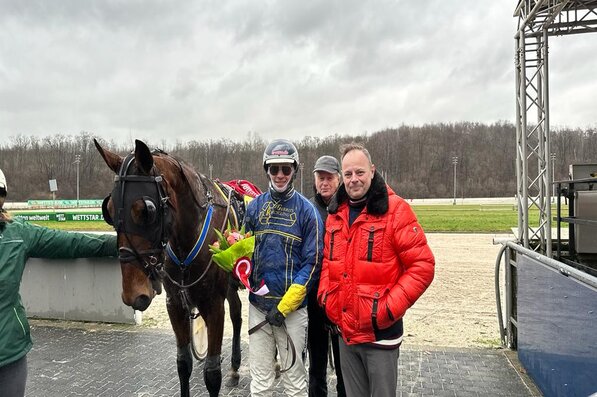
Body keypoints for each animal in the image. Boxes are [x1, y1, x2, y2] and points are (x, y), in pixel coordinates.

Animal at [93, 138, 242, 394]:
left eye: (146, 210)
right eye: (108, 210)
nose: (134, 295)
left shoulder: (213, 305)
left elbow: (212, 373)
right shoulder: (176, 305)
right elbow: (183, 363)